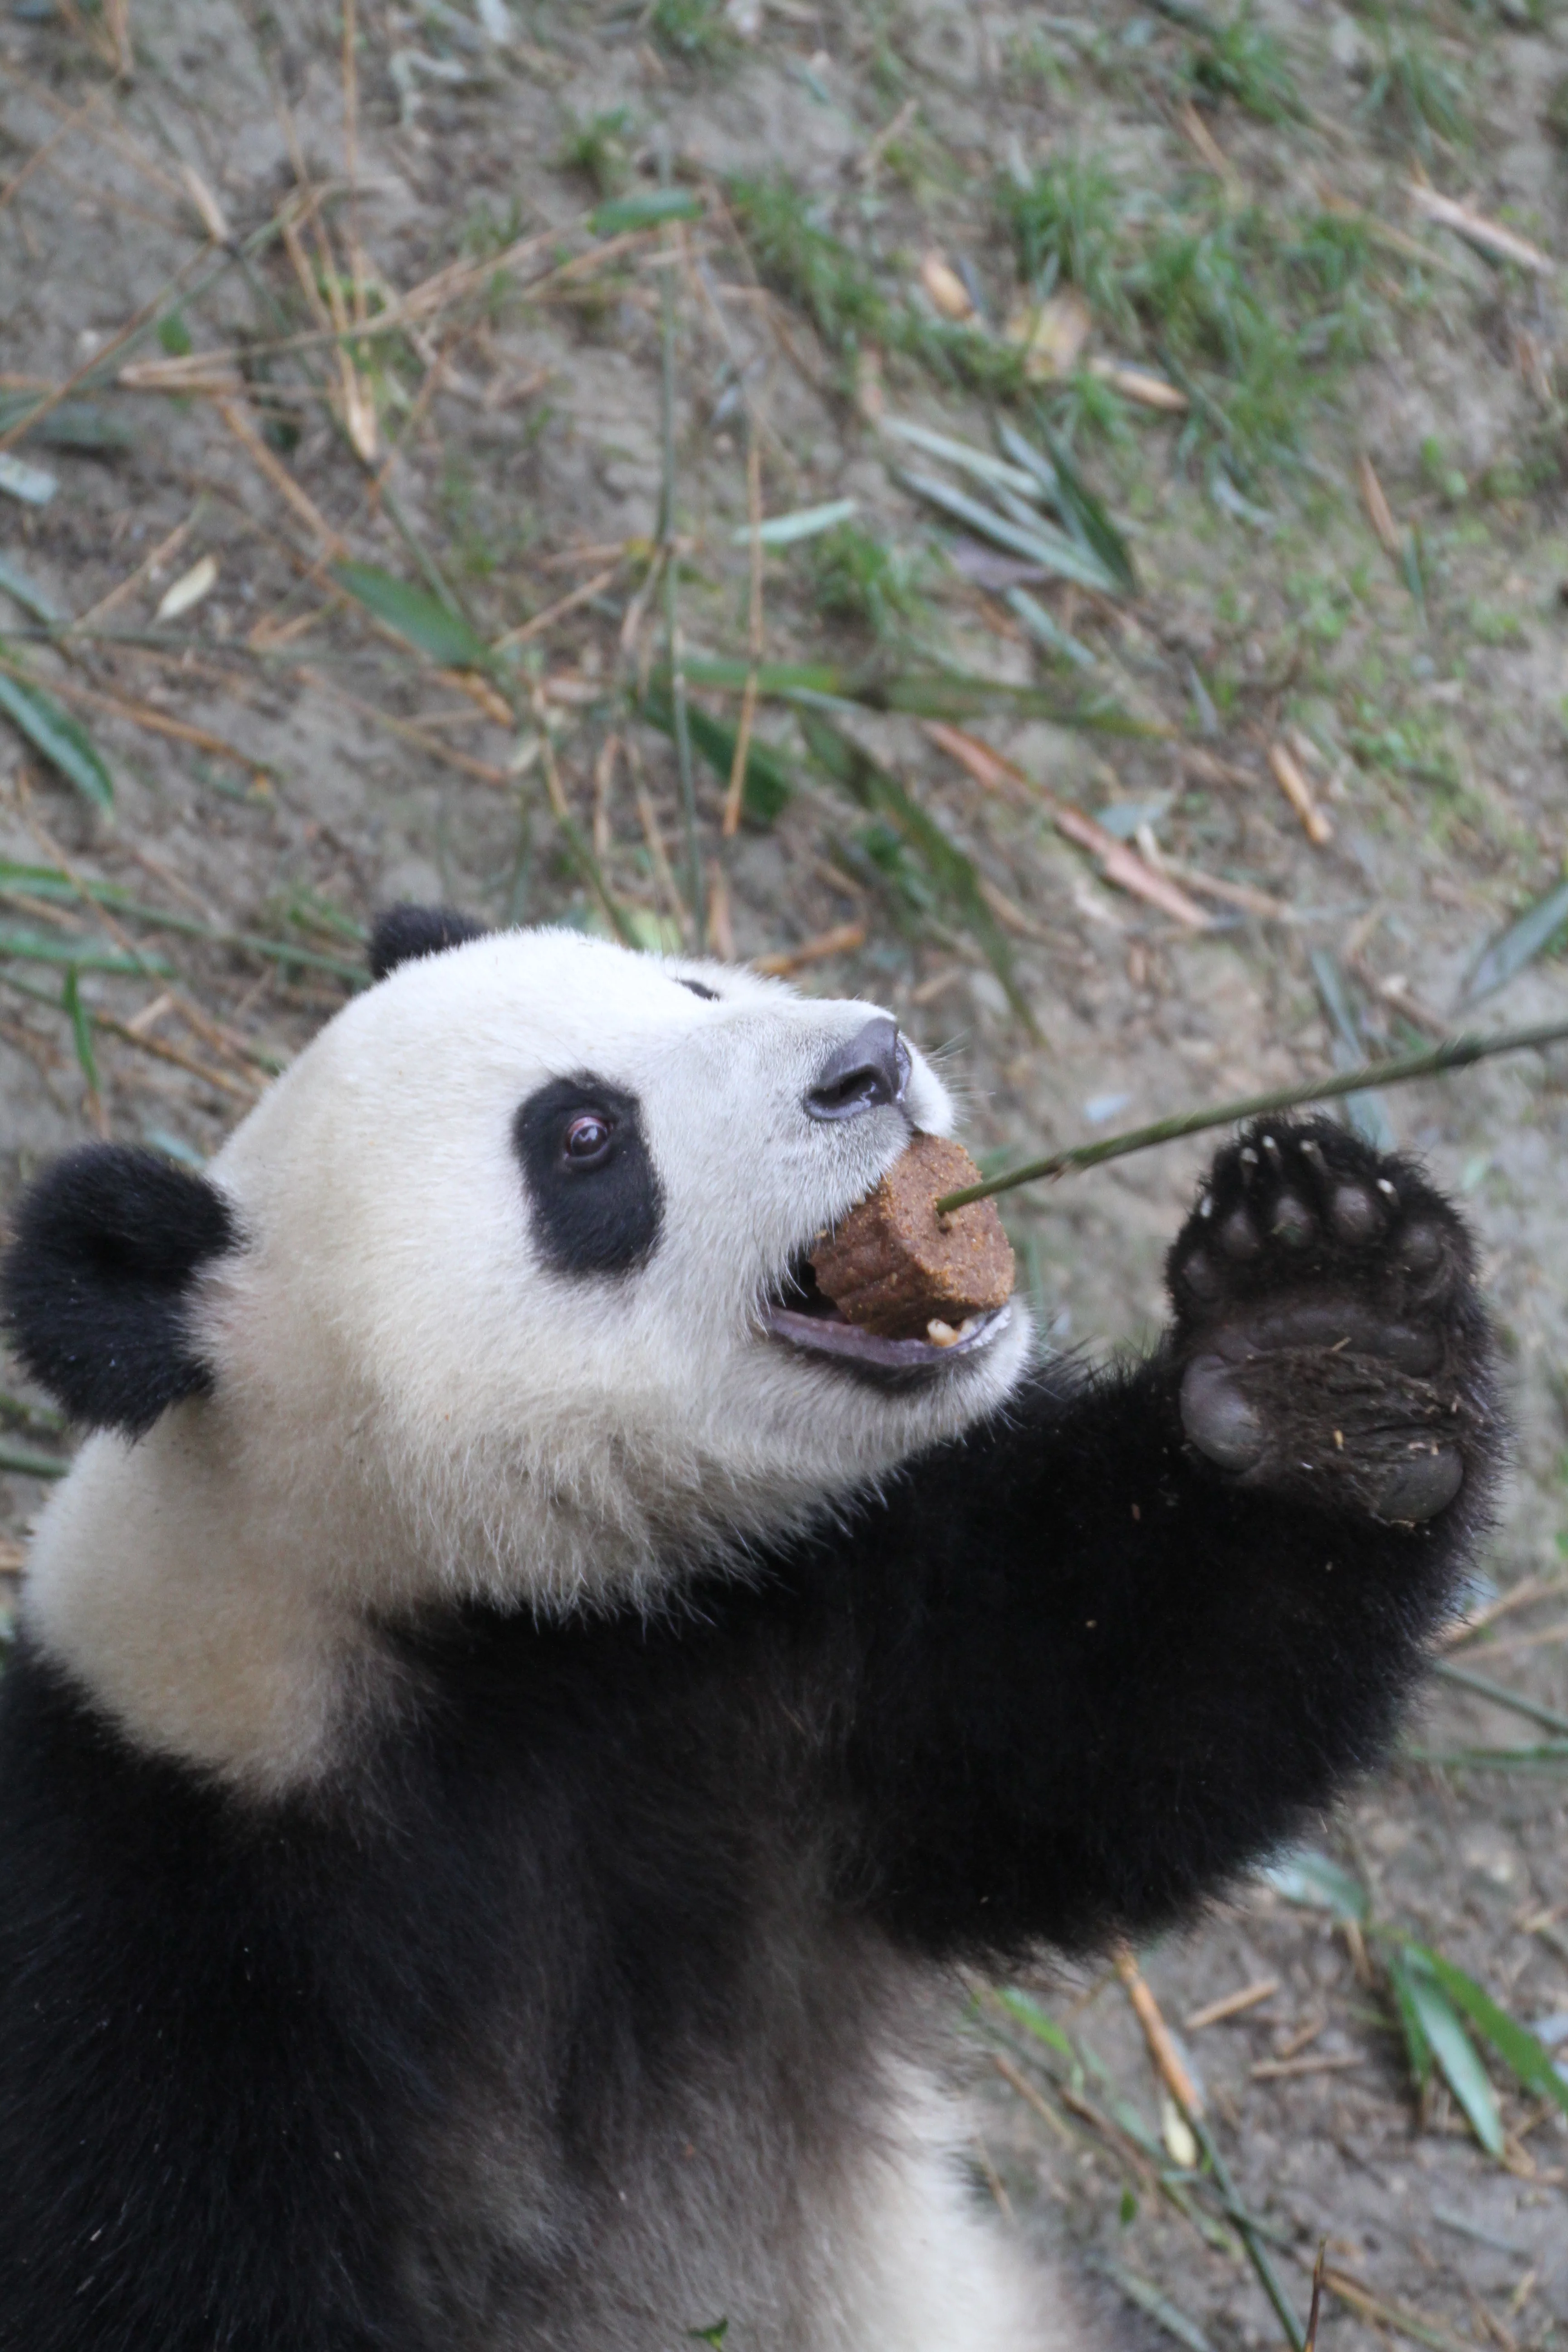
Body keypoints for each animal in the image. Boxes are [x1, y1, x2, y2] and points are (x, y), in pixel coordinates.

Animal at [0, 905, 1499, 2352]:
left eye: (693, 986)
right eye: (585, 1139)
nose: (869, 1062)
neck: (489, 1630)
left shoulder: (814, 1644)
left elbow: (1117, 1717)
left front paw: (1324, 1346)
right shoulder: (175, 1905)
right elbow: (155, 2264)